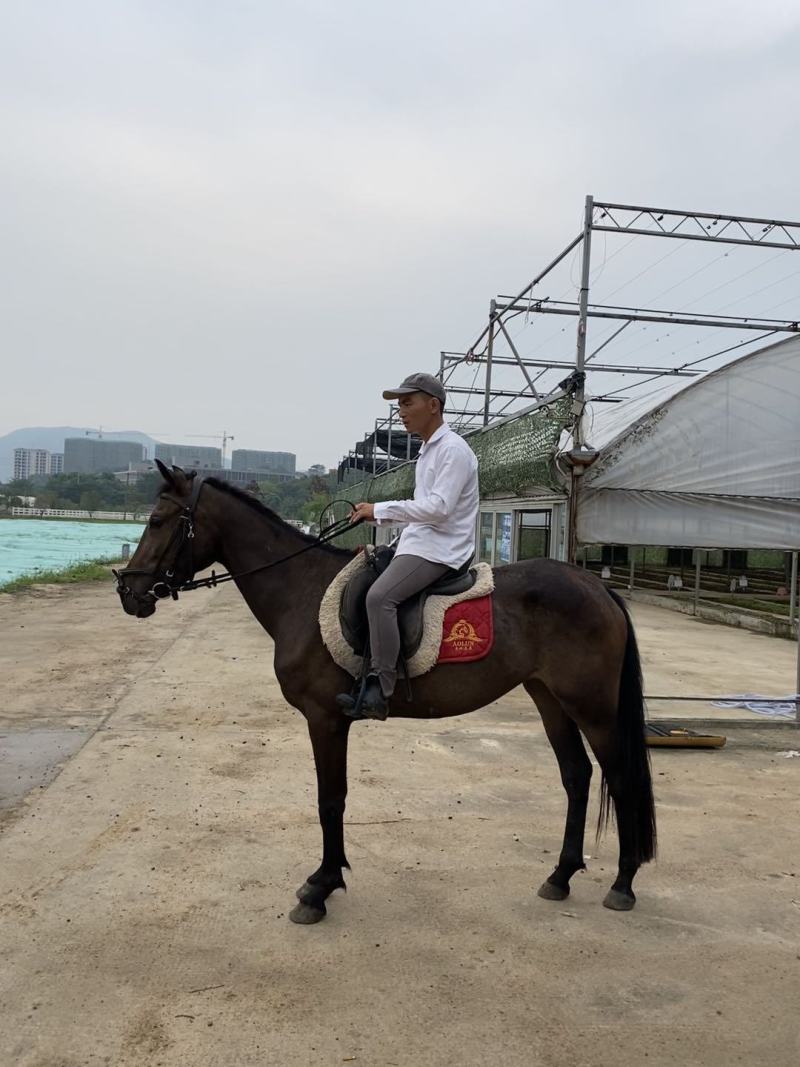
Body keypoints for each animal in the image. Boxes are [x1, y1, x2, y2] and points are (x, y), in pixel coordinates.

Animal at [114, 462, 656, 925]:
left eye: (158, 520)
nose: (128, 593)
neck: (301, 590)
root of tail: (597, 587)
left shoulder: (324, 719)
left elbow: (330, 799)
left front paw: (320, 888)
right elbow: (332, 798)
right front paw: (325, 881)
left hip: (592, 707)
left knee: (620, 777)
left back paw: (623, 884)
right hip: (550, 699)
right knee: (577, 776)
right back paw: (560, 876)